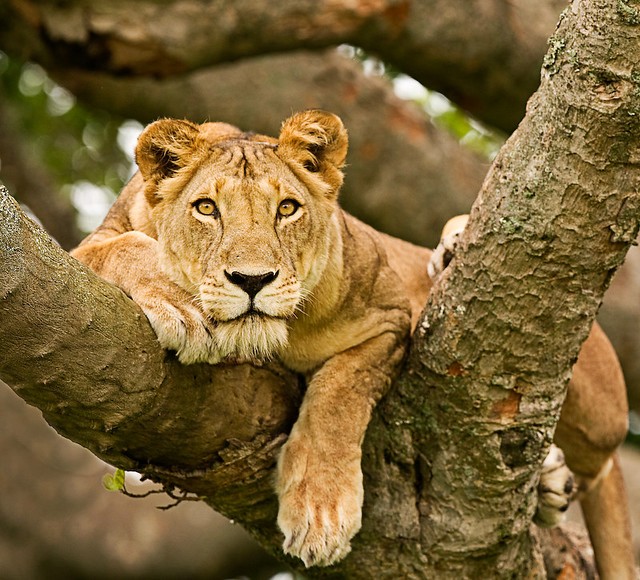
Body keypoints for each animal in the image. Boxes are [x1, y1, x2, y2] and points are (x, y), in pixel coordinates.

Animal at [71, 110, 634, 577]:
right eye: (206, 208)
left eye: (287, 209)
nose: (252, 280)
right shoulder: (89, 248)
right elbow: (123, 249)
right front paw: (180, 303)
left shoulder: (387, 317)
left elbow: (339, 395)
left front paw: (320, 513)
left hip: (598, 404)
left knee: (601, 464)